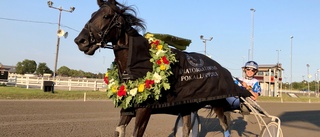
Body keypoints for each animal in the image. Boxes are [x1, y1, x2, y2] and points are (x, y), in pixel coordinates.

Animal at [74, 0, 252, 136]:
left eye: (106, 16)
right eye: (92, 15)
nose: (80, 40)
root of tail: (222, 68)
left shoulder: (144, 111)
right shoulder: (127, 109)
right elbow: (119, 130)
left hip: (217, 103)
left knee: (225, 126)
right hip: (188, 106)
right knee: (187, 129)